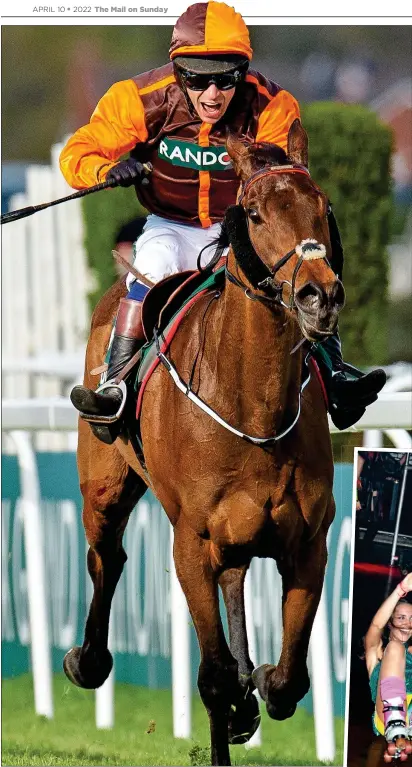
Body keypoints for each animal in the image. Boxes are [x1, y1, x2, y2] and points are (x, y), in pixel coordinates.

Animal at [64, 118, 346, 760]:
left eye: (322, 208)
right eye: (257, 214)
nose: (319, 295)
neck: (255, 410)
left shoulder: (308, 543)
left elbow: (289, 679)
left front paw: (257, 683)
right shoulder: (190, 543)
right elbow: (213, 676)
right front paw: (234, 701)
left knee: (234, 582)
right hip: (105, 487)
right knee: (107, 557)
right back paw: (87, 660)